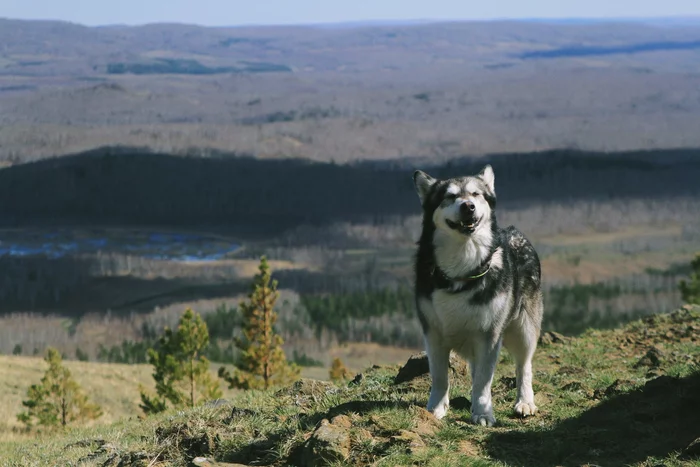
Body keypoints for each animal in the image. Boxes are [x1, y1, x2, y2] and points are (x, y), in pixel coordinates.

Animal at [412, 165, 544, 428]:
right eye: (450, 196)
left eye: (475, 194)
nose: (468, 207)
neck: (462, 266)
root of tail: (515, 231)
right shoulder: (433, 334)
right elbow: (440, 377)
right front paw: (435, 410)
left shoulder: (489, 335)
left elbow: (484, 381)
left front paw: (483, 413)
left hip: (524, 330)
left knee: (523, 366)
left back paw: (525, 402)